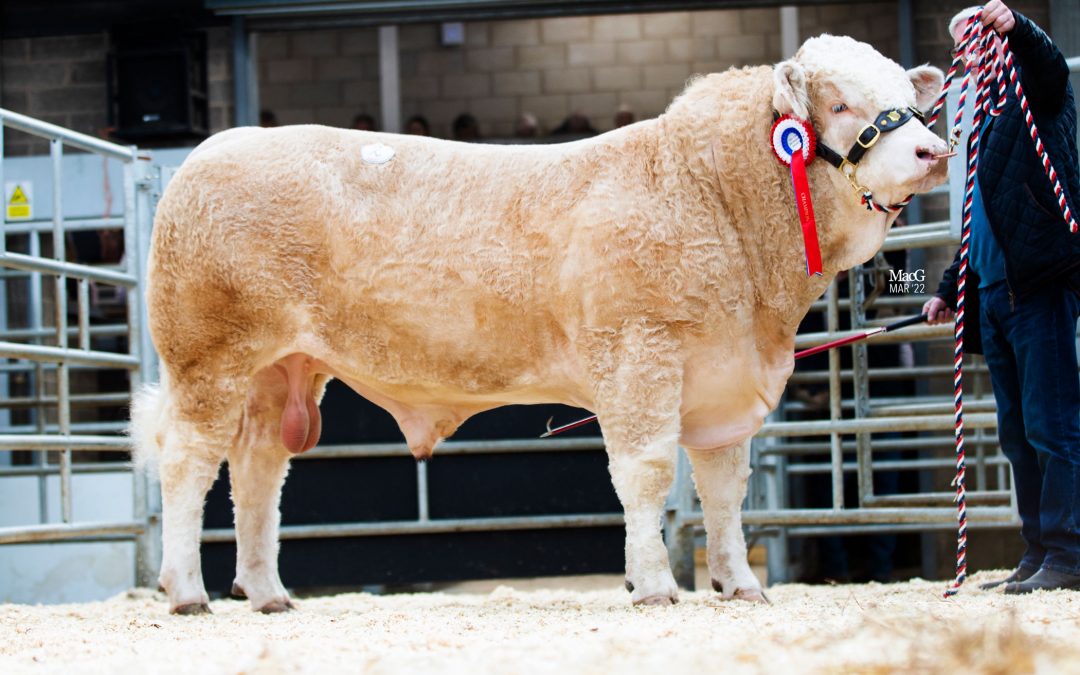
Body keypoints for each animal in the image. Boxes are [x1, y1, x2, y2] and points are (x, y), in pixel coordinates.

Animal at [132, 34, 946, 613]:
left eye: (908, 98)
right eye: (839, 104)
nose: (933, 150)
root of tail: (211, 149)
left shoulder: (725, 379)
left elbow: (724, 489)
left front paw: (739, 583)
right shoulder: (638, 353)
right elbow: (647, 472)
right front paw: (654, 585)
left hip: (281, 368)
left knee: (259, 470)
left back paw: (267, 592)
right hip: (209, 358)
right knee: (189, 462)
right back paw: (186, 590)